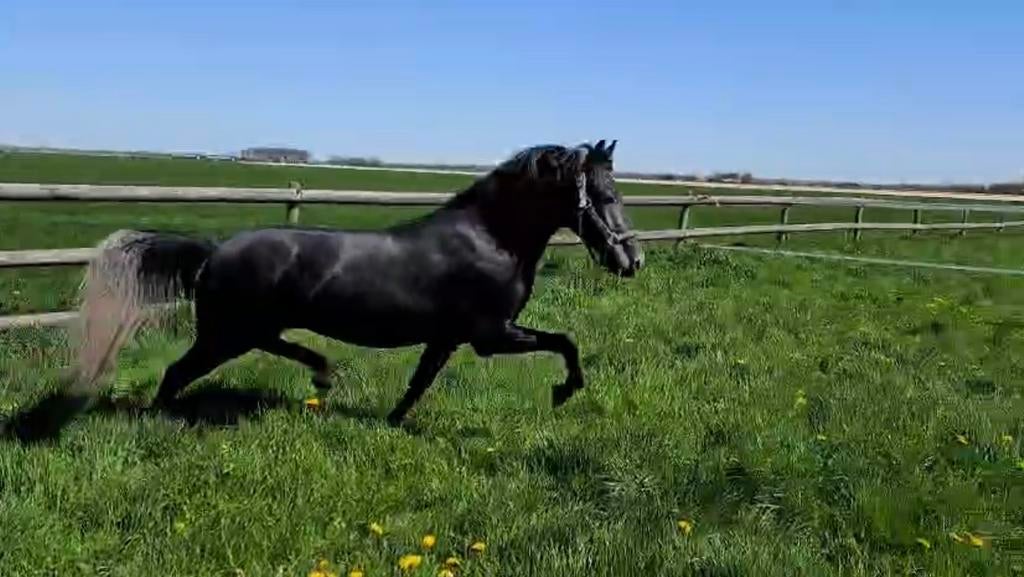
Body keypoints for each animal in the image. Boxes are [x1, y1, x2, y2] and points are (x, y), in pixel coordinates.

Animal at [69, 139, 644, 426]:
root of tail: (213, 251)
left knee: (271, 347)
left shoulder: (449, 337)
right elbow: (566, 342)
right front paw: (564, 392)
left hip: (243, 330)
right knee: (176, 373)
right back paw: (158, 421)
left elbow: (420, 382)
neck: (490, 239)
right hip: (225, 335)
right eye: (607, 195)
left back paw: (324, 373)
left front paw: (392, 422)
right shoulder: (490, 334)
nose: (632, 260)